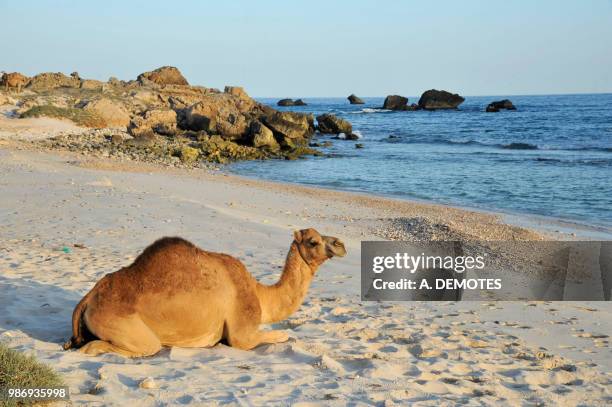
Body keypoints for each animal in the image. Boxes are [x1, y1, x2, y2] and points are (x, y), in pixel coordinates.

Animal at [65, 228, 346, 358]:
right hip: (122, 324)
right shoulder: (242, 334)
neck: (259, 293)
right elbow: (282, 335)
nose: (341, 244)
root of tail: (88, 299)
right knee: (136, 346)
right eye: (313, 241)